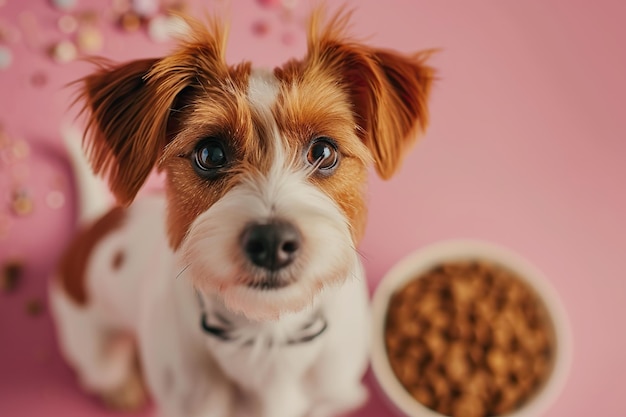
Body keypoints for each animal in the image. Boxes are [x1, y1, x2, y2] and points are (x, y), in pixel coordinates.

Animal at [48, 8, 432, 416]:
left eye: (323, 151)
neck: (266, 337)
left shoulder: (328, 398)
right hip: (92, 342)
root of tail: (91, 230)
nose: (272, 241)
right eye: (210, 153)